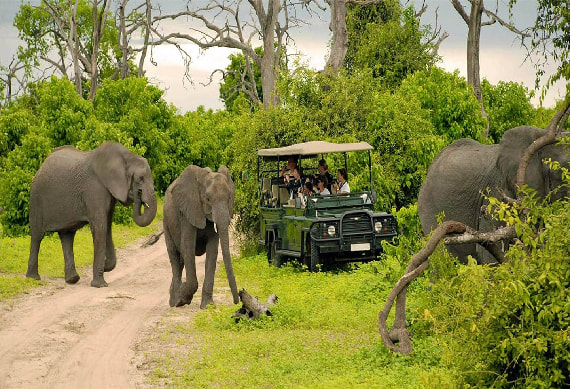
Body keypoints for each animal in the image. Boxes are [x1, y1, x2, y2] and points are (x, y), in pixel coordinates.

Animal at [25, 142, 156, 284]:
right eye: (140, 179)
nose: (139, 194)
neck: (126, 156)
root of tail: (42, 166)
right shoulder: (94, 189)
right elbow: (100, 227)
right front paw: (100, 284)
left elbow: (107, 227)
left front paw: (105, 267)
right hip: (36, 199)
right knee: (37, 236)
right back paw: (33, 278)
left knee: (67, 236)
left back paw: (72, 279)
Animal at [162, 165, 240, 308]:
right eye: (208, 199)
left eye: (229, 198)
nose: (236, 302)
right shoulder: (187, 211)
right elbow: (187, 246)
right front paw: (183, 298)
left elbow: (213, 247)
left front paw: (208, 306)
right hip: (166, 222)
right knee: (174, 256)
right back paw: (175, 302)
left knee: (181, 261)